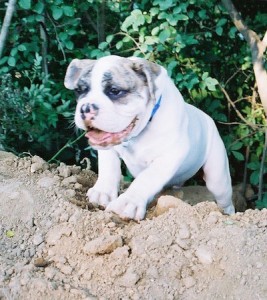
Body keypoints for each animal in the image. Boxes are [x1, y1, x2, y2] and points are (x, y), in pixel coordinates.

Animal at [64, 55, 234, 220]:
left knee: (224, 199)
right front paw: (102, 192)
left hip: (218, 179)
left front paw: (128, 202)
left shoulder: (170, 154)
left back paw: (226, 214)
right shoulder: (108, 149)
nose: (86, 108)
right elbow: (109, 168)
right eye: (79, 90)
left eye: (115, 90)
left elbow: (148, 178)